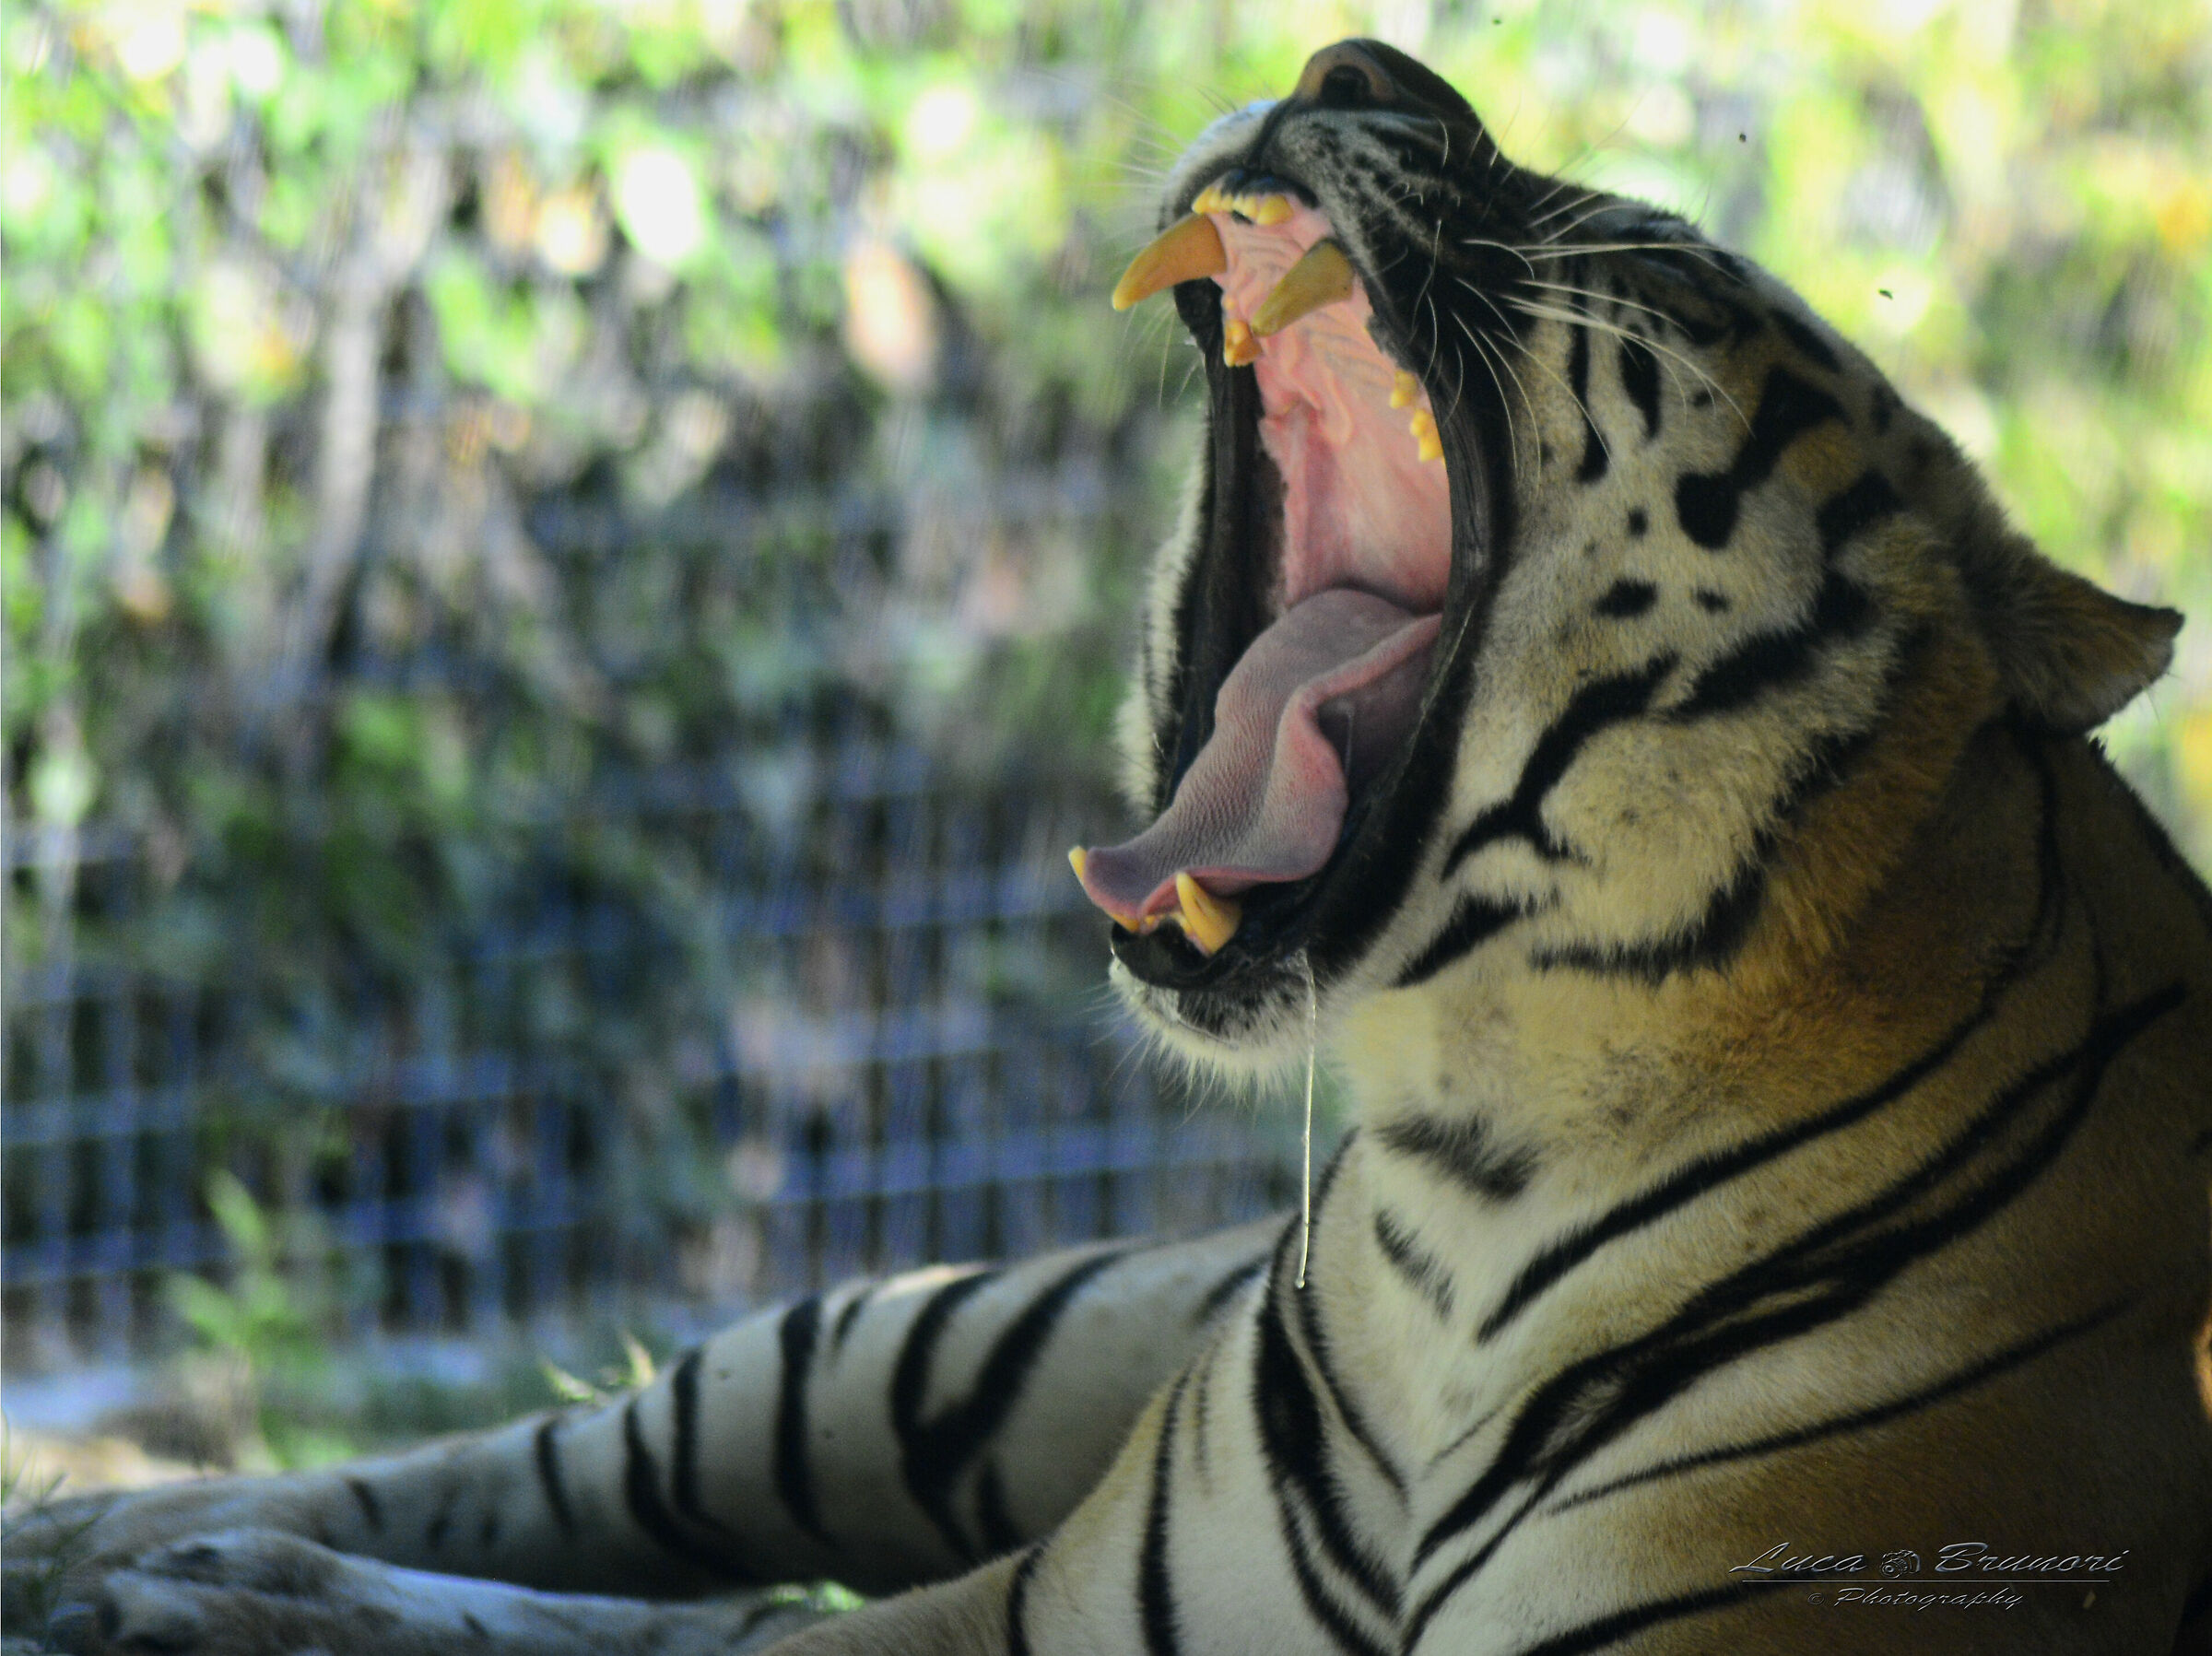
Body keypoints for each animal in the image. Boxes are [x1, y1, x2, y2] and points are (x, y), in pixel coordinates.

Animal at [7, 37, 2210, 1656]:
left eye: (1657, 275)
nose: (1355, 57)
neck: (1463, 1176)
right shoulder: (1060, 1603)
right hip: (935, 1337)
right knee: (551, 1468)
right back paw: (126, 1549)